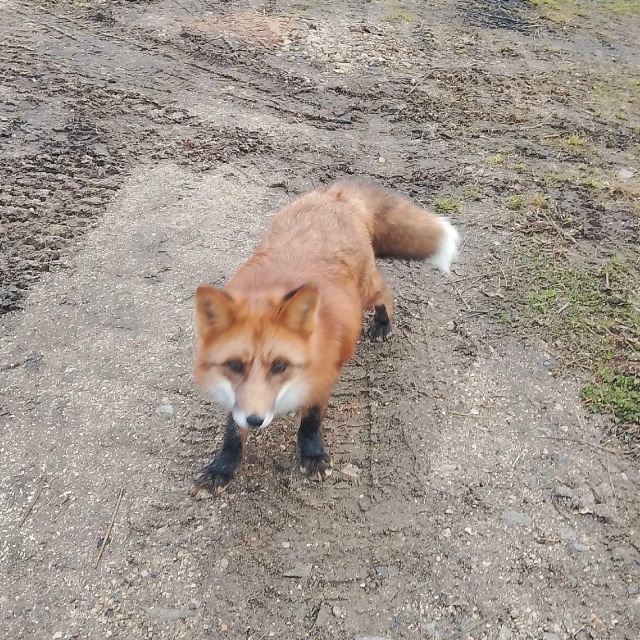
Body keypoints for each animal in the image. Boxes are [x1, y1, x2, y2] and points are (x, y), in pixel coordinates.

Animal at [191, 178, 460, 495]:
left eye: (280, 366)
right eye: (234, 365)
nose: (255, 420)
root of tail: (336, 194)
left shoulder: (322, 378)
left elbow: (310, 421)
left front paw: (312, 455)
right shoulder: (237, 398)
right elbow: (232, 431)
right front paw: (222, 468)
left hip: (366, 292)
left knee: (386, 291)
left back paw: (382, 323)